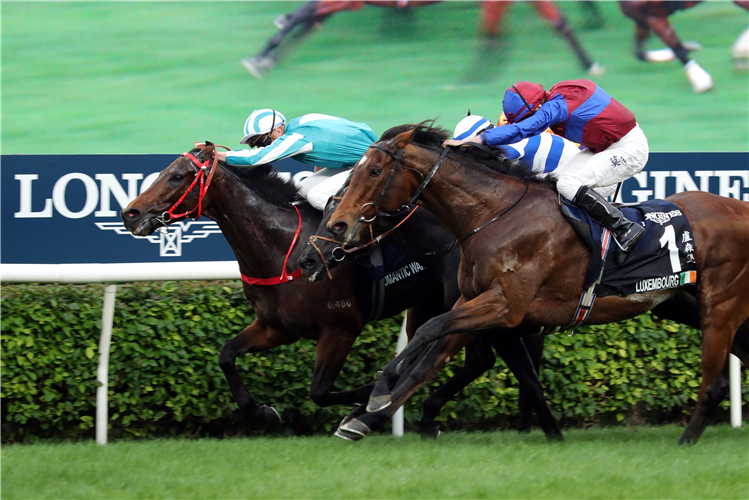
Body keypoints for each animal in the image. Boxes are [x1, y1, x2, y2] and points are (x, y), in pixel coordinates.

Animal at [120, 146, 450, 430]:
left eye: (176, 176)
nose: (129, 214)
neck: (285, 248)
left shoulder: (341, 328)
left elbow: (319, 392)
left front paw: (374, 392)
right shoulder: (277, 327)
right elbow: (226, 354)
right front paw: (263, 412)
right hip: (426, 301)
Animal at [326, 123, 748, 444]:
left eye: (373, 171)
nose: (337, 225)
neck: (493, 216)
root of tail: (739, 208)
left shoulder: (505, 306)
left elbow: (431, 330)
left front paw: (377, 393)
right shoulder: (472, 304)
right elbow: (429, 358)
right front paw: (365, 416)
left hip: (720, 305)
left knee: (714, 382)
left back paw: (685, 442)